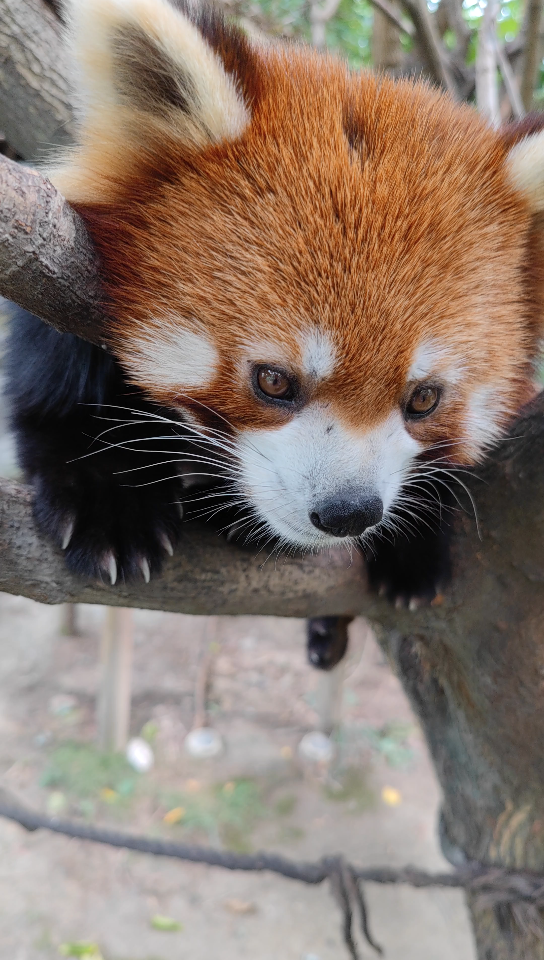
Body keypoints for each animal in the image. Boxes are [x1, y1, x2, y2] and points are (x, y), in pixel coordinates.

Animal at [6, 0, 544, 604]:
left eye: (424, 398)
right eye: (273, 381)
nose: (347, 512)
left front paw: (418, 538)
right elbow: (59, 383)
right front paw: (110, 499)